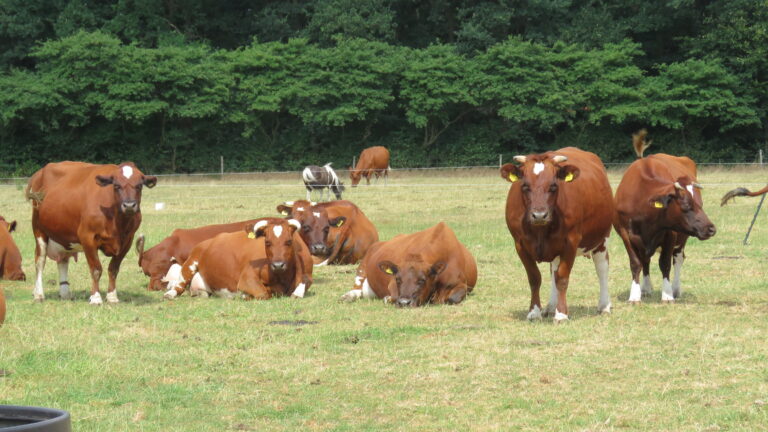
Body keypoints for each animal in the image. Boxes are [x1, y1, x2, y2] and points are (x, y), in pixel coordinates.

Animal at [25, 161, 157, 304]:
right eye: (116, 185)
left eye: (139, 185)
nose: (129, 205)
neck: (117, 222)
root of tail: (40, 172)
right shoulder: (87, 237)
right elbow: (96, 269)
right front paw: (95, 297)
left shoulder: (127, 240)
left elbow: (113, 269)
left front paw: (112, 296)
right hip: (39, 230)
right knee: (40, 261)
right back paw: (38, 294)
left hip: (63, 235)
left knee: (63, 261)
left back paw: (65, 293)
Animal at [163, 218, 312, 300]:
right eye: (267, 242)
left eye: (289, 241)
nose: (278, 265)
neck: (281, 278)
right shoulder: (247, 278)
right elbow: (262, 293)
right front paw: (244, 295)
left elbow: (301, 287)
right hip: (190, 263)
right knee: (179, 285)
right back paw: (170, 294)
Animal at [340, 222, 477, 307]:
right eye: (398, 279)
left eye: (422, 280)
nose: (404, 303)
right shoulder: (392, 285)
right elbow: (393, 297)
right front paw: (388, 298)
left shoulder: (461, 285)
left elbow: (453, 298)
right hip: (362, 266)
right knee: (358, 287)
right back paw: (348, 296)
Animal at [500, 147, 614, 322]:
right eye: (525, 185)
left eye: (553, 186)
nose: (539, 215)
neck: (540, 231)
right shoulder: (520, 245)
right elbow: (535, 278)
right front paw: (535, 312)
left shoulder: (571, 242)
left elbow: (562, 278)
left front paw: (561, 314)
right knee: (553, 268)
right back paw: (550, 306)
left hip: (602, 239)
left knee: (602, 268)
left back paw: (604, 306)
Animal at [614, 130, 716, 304]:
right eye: (686, 205)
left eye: (700, 204)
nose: (711, 228)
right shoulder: (625, 233)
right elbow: (636, 263)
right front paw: (634, 295)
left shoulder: (671, 233)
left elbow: (665, 264)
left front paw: (667, 294)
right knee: (646, 260)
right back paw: (646, 288)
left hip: (682, 238)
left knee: (678, 258)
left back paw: (676, 289)